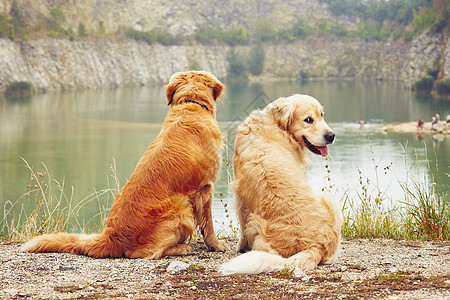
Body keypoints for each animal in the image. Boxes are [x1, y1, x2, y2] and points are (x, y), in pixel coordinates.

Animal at [21, 71, 227, 258]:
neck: (190, 106)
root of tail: (111, 237)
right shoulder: (206, 188)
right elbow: (208, 223)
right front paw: (216, 245)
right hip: (180, 206)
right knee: (145, 252)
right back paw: (181, 248)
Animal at [221, 94, 342, 274]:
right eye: (308, 119)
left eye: (322, 115)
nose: (331, 135)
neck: (273, 124)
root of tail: (317, 246)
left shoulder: (240, 195)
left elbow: (242, 226)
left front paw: (241, 247)